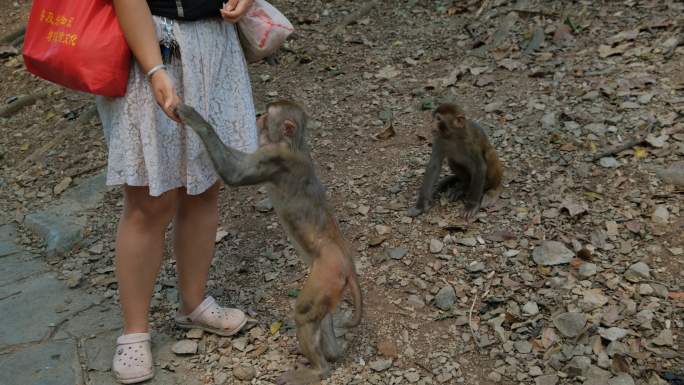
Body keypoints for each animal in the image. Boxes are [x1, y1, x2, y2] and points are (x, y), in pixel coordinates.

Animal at [176, 100, 364, 384]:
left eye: (266, 116)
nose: (258, 117)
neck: (293, 144)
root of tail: (347, 263)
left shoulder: (274, 157)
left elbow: (234, 174)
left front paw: (194, 118)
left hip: (327, 273)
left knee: (304, 313)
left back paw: (319, 369)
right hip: (332, 285)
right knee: (321, 318)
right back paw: (332, 354)